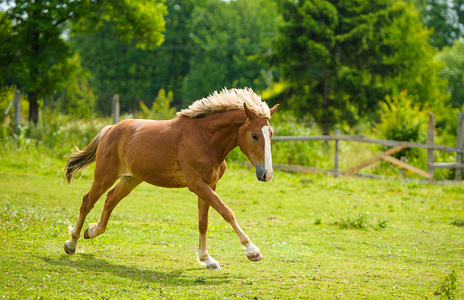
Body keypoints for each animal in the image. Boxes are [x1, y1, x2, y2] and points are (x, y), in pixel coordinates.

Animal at [63, 87, 278, 270]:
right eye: (254, 136)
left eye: (271, 134)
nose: (267, 174)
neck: (205, 139)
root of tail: (110, 128)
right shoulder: (197, 184)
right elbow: (227, 211)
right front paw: (252, 251)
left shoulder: (210, 185)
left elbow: (203, 221)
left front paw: (206, 259)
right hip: (104, 176)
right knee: (87, 201)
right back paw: (71, 243)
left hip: (130, 179)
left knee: (110, 199)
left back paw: (91, 231)